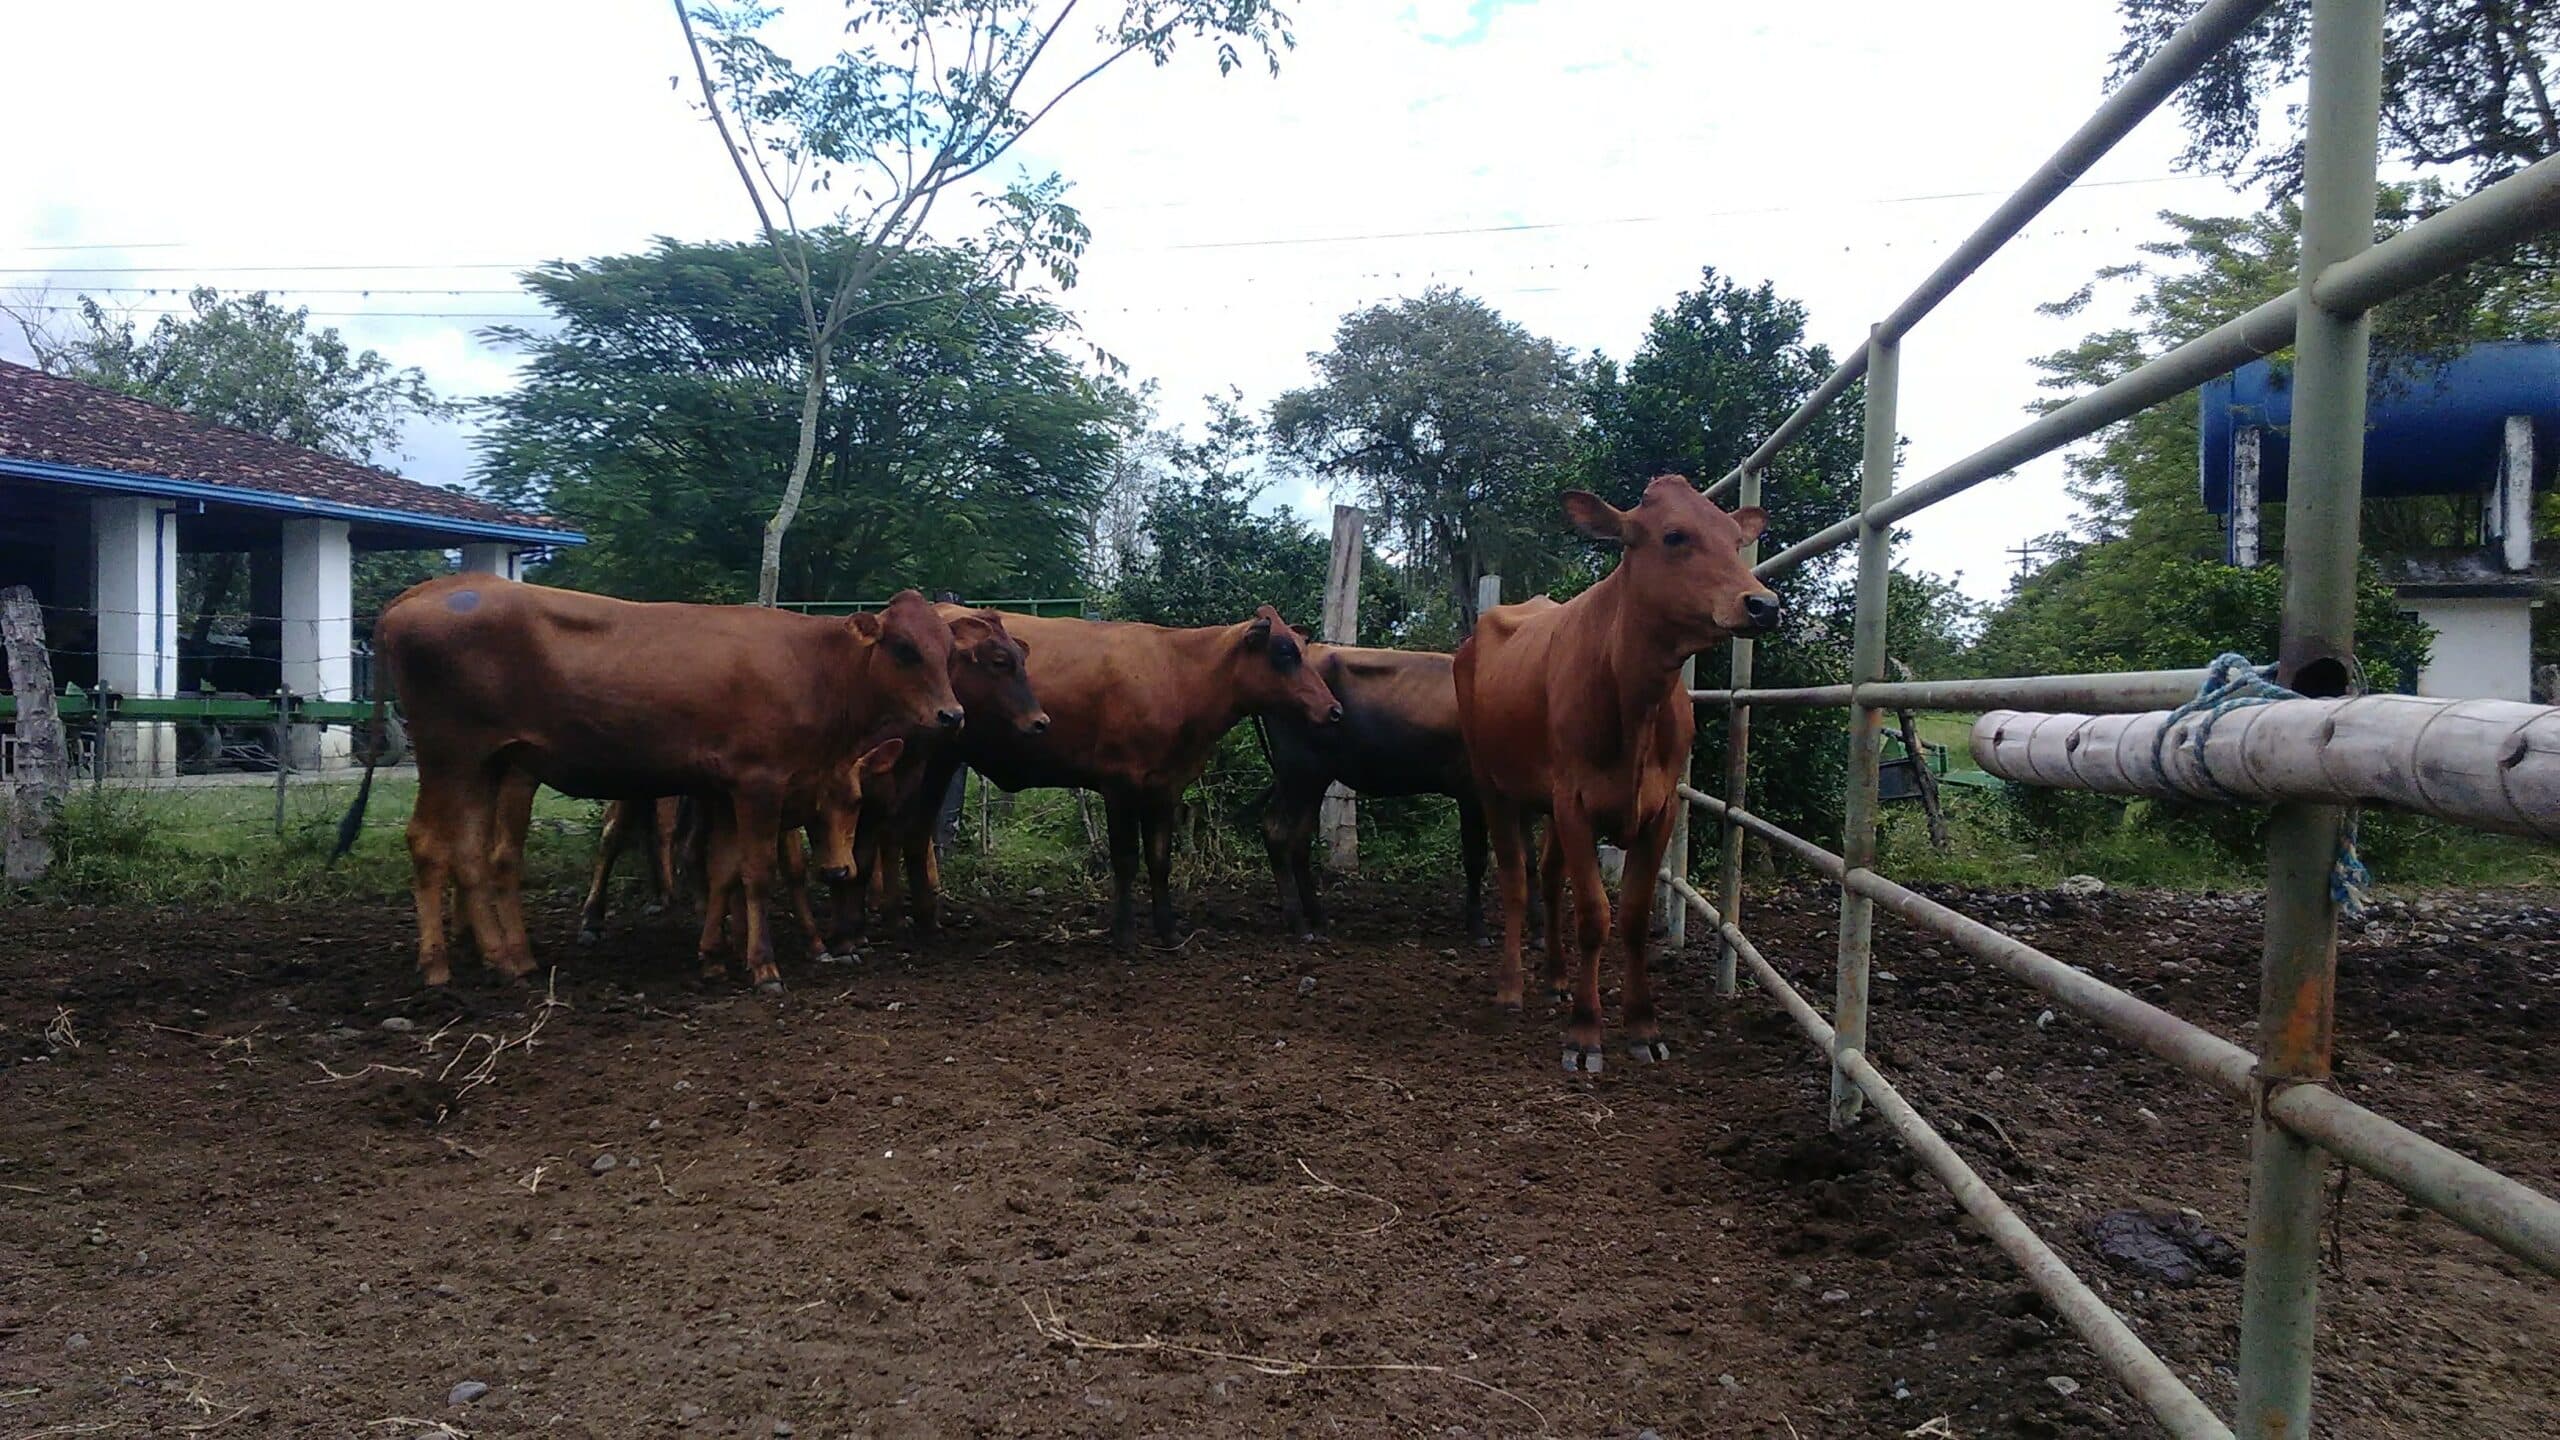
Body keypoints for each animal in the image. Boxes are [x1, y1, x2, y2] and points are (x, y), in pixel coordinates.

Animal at [338, 577, 963, 991]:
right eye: (904, 648)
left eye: (949, 650)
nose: (953, 715)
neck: (810, 664)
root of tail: (423, 594)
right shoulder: (758, 782)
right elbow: (757, 873)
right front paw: (763, 965)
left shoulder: (728, 788)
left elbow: (726, 869)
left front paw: (719, 955)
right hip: (450, 756)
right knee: (429, 844)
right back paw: (439, 964)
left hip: (488, 764)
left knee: (470, 851)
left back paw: (507, 959)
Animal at [833, 604, 1050, 944]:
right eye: (999, 661)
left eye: (1022, 659)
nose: (1040, 721)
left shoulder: (924, 769)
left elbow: (900, 835)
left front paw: (904, 915)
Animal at [914, 605, 1343, 947]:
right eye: (1284, 652)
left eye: (1303, 651)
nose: (1334, 710)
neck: (1179, 676)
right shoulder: (1118, 783)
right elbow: (1125, 858)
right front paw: (1123, 934)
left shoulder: (1166, 787)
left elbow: (1159, 859)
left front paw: (1168, 930)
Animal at [1254, 644, 1492, 943]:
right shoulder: (1472, 790)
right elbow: (1476, 858)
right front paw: (1478, 928)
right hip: (1298, 771)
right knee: (1276, 830)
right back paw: (1298, 923)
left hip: (1313, 778)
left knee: (1299, 839)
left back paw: (1318, 918)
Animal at [1454, 475, 1779, 1072]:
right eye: (1674, 535)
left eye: (1733, 539)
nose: (1763, 605)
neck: (1635, 705)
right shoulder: (1576, 803)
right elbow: (1593, 915)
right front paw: (1585, 1032)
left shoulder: (1660, 808)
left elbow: (1629, 916)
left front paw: (1643, 1025)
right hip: (1493, 785)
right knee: (1515, 879)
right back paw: (1511, 987)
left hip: (1546, 802)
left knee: (1548, 874)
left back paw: (1557, 978)